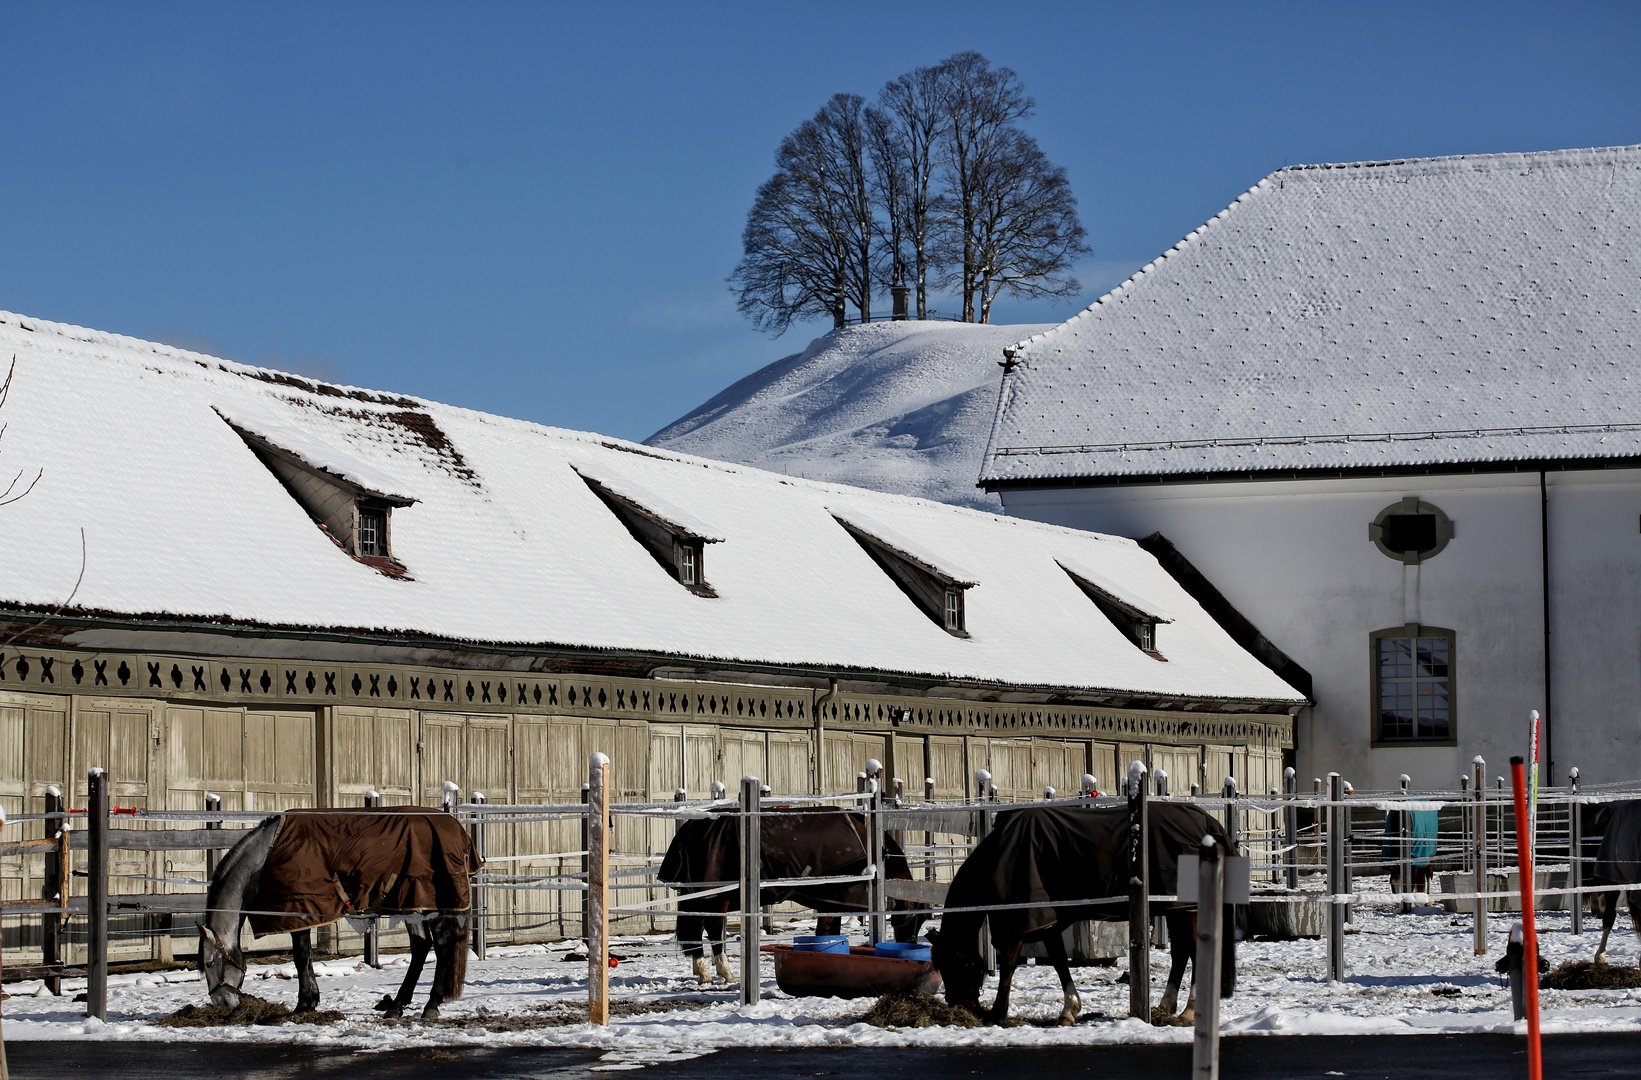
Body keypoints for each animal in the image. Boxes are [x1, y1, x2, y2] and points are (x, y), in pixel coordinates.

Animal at [197, 804, 479, 1011]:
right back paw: (397, 1005)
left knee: (441, 945)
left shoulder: (298, 909)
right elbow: (305, 957)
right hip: (412, 904)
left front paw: (305, 1004)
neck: (265, 857)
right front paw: (310, 1000)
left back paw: (431, 1004)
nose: (221, 1003)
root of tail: (454, 827)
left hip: (427, 902)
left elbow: (301, 956)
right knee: (421, 946)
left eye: (210, 963)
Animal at [662, 804, 925, 978]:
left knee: (695, 929)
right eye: (914, 919)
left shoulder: (831, 902)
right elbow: (825, 934)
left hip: (698, 896)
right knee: (713, 929)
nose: (910, 945)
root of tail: (690, 829)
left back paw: (702, 971)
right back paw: (725, 972)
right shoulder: (832, 900)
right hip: (716, 897)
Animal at [932, 804, 1234, 1024]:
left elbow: (1008, 964)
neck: (1001, 852)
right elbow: (1058, 961)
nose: (958, 1004)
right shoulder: (1049, 920)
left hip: (1184, 910)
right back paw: (1167, 1006)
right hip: (1177, 909)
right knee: (1182, 952)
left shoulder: (1022, 920)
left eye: (953, 965)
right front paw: (1069, 1010)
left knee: (1194, 951)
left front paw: (997, 1013)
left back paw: (1189, 1011)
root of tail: (1204, 821)